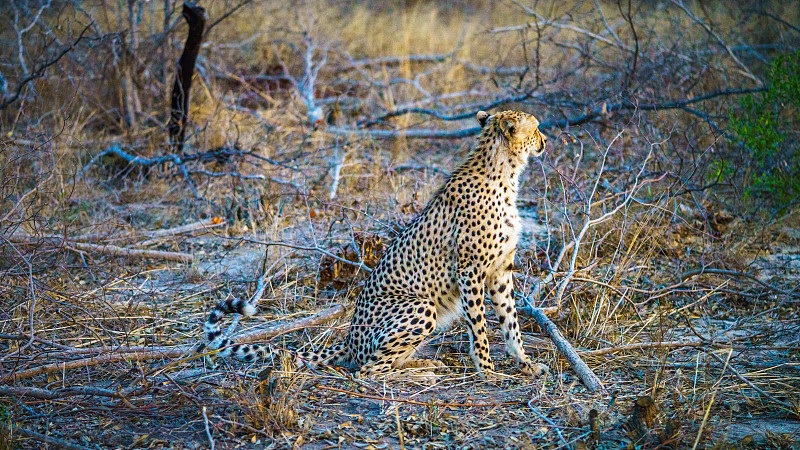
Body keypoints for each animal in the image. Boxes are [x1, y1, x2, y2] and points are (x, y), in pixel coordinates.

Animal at [200, 110, 552, 378]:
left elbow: (510, 323)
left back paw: (424, 364)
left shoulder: (500, 271)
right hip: (421, 306)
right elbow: (480, 328)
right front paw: (488, 372)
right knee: (366, 371)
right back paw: (419, 374)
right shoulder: (471, 271)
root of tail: (350, 338)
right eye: (535, 128)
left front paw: (525, 364)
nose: (545, 141)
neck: (504, 173)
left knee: (380, 363)